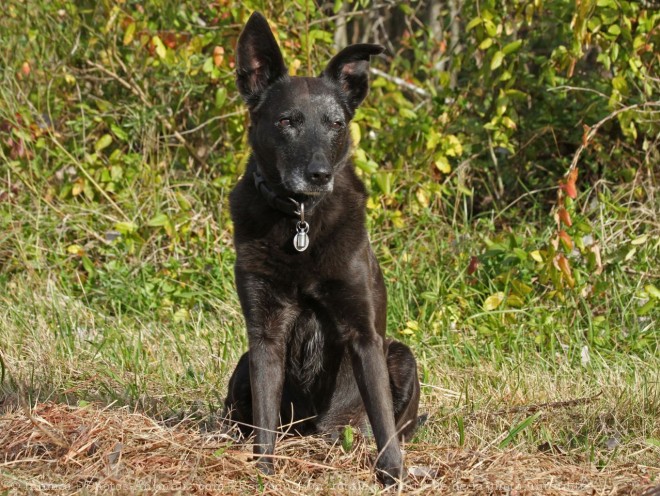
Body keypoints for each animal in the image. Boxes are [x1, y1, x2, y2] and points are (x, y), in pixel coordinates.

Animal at [224, 11, 420, 484]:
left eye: (336, 123)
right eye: (287, 121)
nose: (319, 175)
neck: (300, 220)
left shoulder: (364, 334)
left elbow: (382, 418)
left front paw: (391, 474)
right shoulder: (264, 335)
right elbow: (264, 422)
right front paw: (265, 471)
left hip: (402, 356)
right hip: (242, 364)